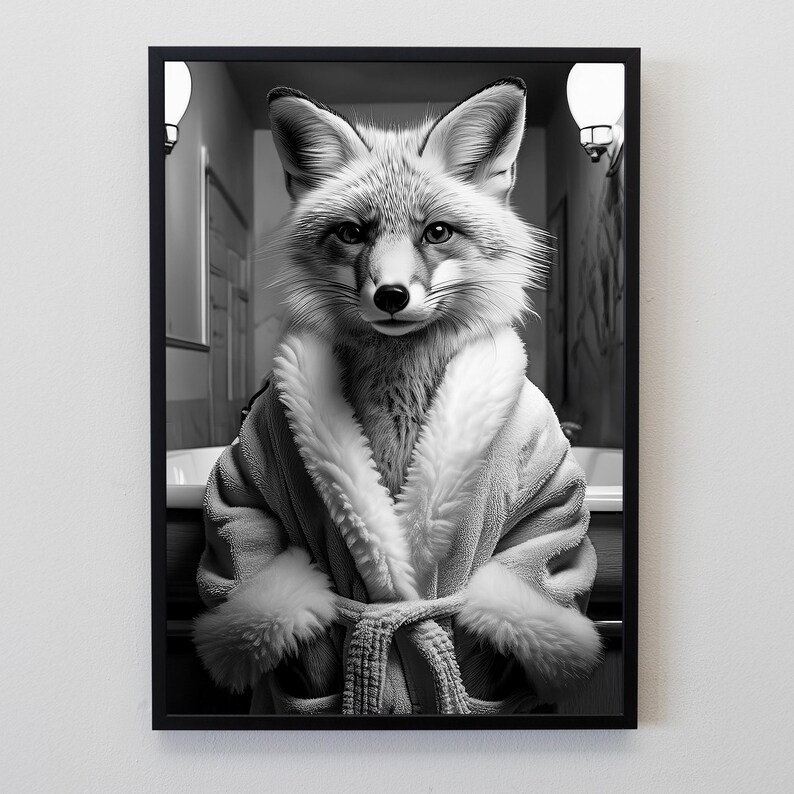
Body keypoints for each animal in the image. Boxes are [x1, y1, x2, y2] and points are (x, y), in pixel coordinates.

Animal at [194, 78, 601, 715]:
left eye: (436, 232)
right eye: (352, 232)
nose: (390, 295)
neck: (398, 406)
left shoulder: (547, 485)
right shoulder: (247, 472)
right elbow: (248, 535)